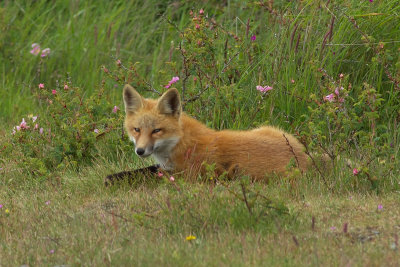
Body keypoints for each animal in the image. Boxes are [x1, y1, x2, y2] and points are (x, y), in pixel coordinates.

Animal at [105, 85, 310, 185]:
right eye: (137, 129)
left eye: (156, 130)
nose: (140, 151)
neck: (180, 142)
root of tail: (305, 161)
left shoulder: (185, 176)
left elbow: (143, 174)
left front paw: (112, 180)